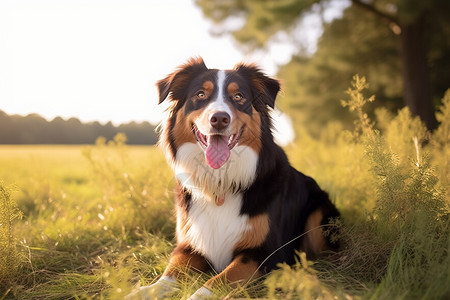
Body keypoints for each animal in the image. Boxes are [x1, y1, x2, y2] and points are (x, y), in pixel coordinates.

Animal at [128, 57, 340, 298]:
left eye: (238, 97)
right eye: (200, 94)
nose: (219, 119)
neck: (220, 182)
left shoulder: (265, 253)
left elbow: (218, 280)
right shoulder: (189, 246)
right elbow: (168, 275)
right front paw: (140, 292)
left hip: (319, 213)